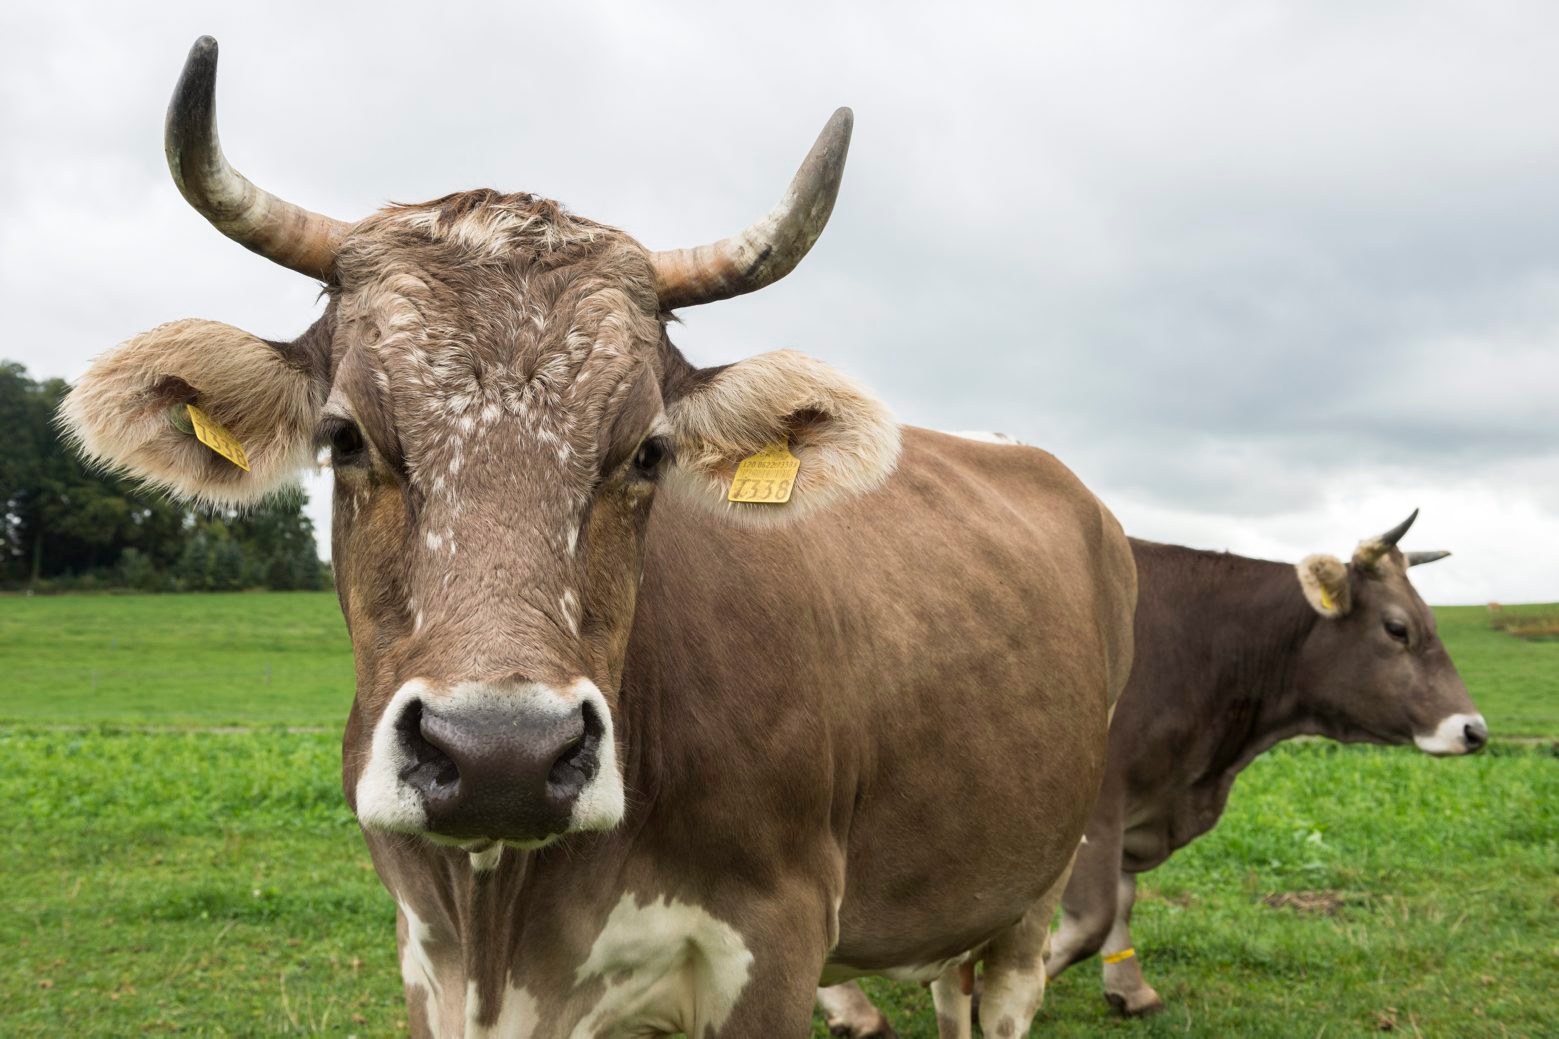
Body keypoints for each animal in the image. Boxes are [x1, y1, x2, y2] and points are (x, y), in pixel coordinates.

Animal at [57, 36, 1134, 1029]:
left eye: (647, 451)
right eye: (345, 436)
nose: (500, 756)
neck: (503, 922)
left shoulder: (773, 949)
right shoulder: (426, 959)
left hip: (1032, 884)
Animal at [816, 505, 1484, 1029]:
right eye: (1397, 628)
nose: (1473, 729)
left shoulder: (1140, 803)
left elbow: (1124, 902)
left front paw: (1129, 988)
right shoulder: (1095, 809)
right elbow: (1089, 920)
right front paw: (985, 984)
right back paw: (857, 1011)